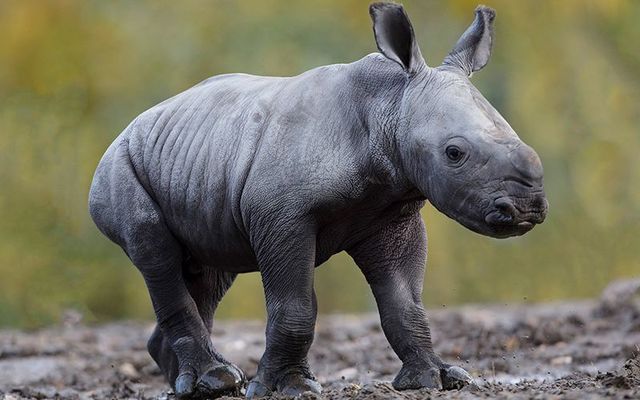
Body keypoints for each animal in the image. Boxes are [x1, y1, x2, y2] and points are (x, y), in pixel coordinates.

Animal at [89, 2, 552, 396]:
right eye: (454, 153)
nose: (526, 208)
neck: (389, 105)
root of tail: (131, 126)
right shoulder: (281, 214)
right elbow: (296, 306)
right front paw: (288, 389)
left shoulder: (392, 214)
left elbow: (404, 303)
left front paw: (436, 379)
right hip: (119, 166)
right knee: (156, 251)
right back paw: (216, 380)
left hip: (199, 158)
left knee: (209, 269)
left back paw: (197, 386)